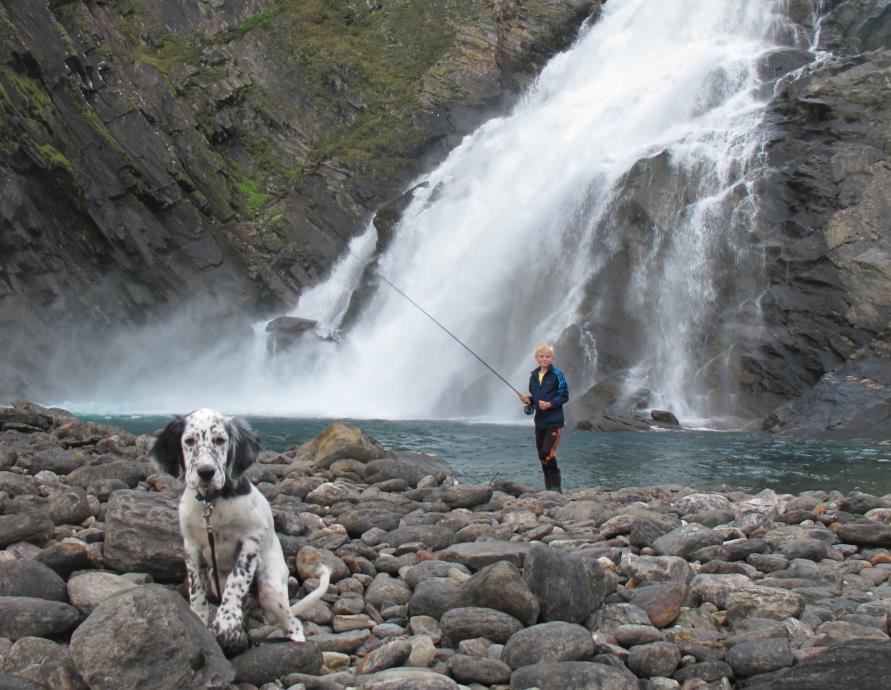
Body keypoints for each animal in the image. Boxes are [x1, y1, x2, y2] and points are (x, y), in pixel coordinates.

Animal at [150, 406, 332, 652]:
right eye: (189, 441)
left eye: (219, 440)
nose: (206, 472)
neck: (212, 502)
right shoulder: (191, 546)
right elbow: (196, 590)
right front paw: (199, 619)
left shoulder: (251, 539)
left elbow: (237, 580)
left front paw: (227, 621)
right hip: (215, 579)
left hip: (271, 589)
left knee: (293, 622)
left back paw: (296, 640)